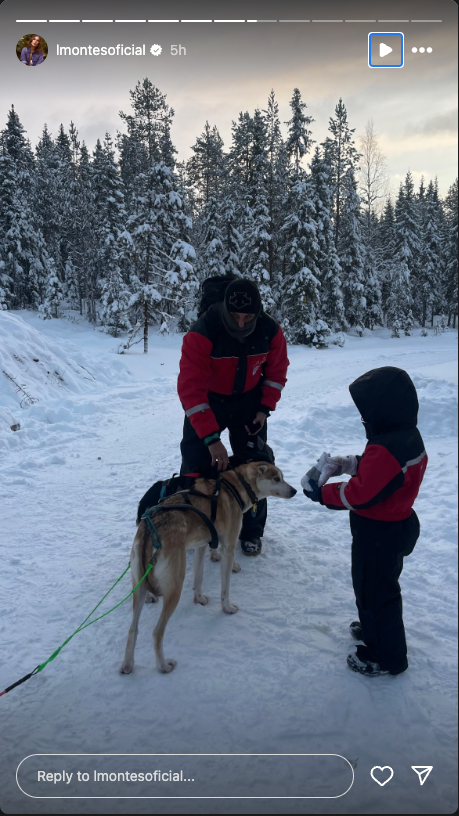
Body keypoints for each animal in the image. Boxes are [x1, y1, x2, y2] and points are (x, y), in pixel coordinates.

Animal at [120, 466, 296, 676]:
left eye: (282, 477)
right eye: (276, 478)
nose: (295, 490)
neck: (234, 486)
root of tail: (149, 531)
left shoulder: (201, 546)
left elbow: (198, 578)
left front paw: (199, 599)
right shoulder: (228, 546)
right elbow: (225, 589)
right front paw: (227, 608)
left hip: (139, 587)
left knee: (132, 629)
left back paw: (128, 665)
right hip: (174, 588)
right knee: (157, 632)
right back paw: (163, 666)